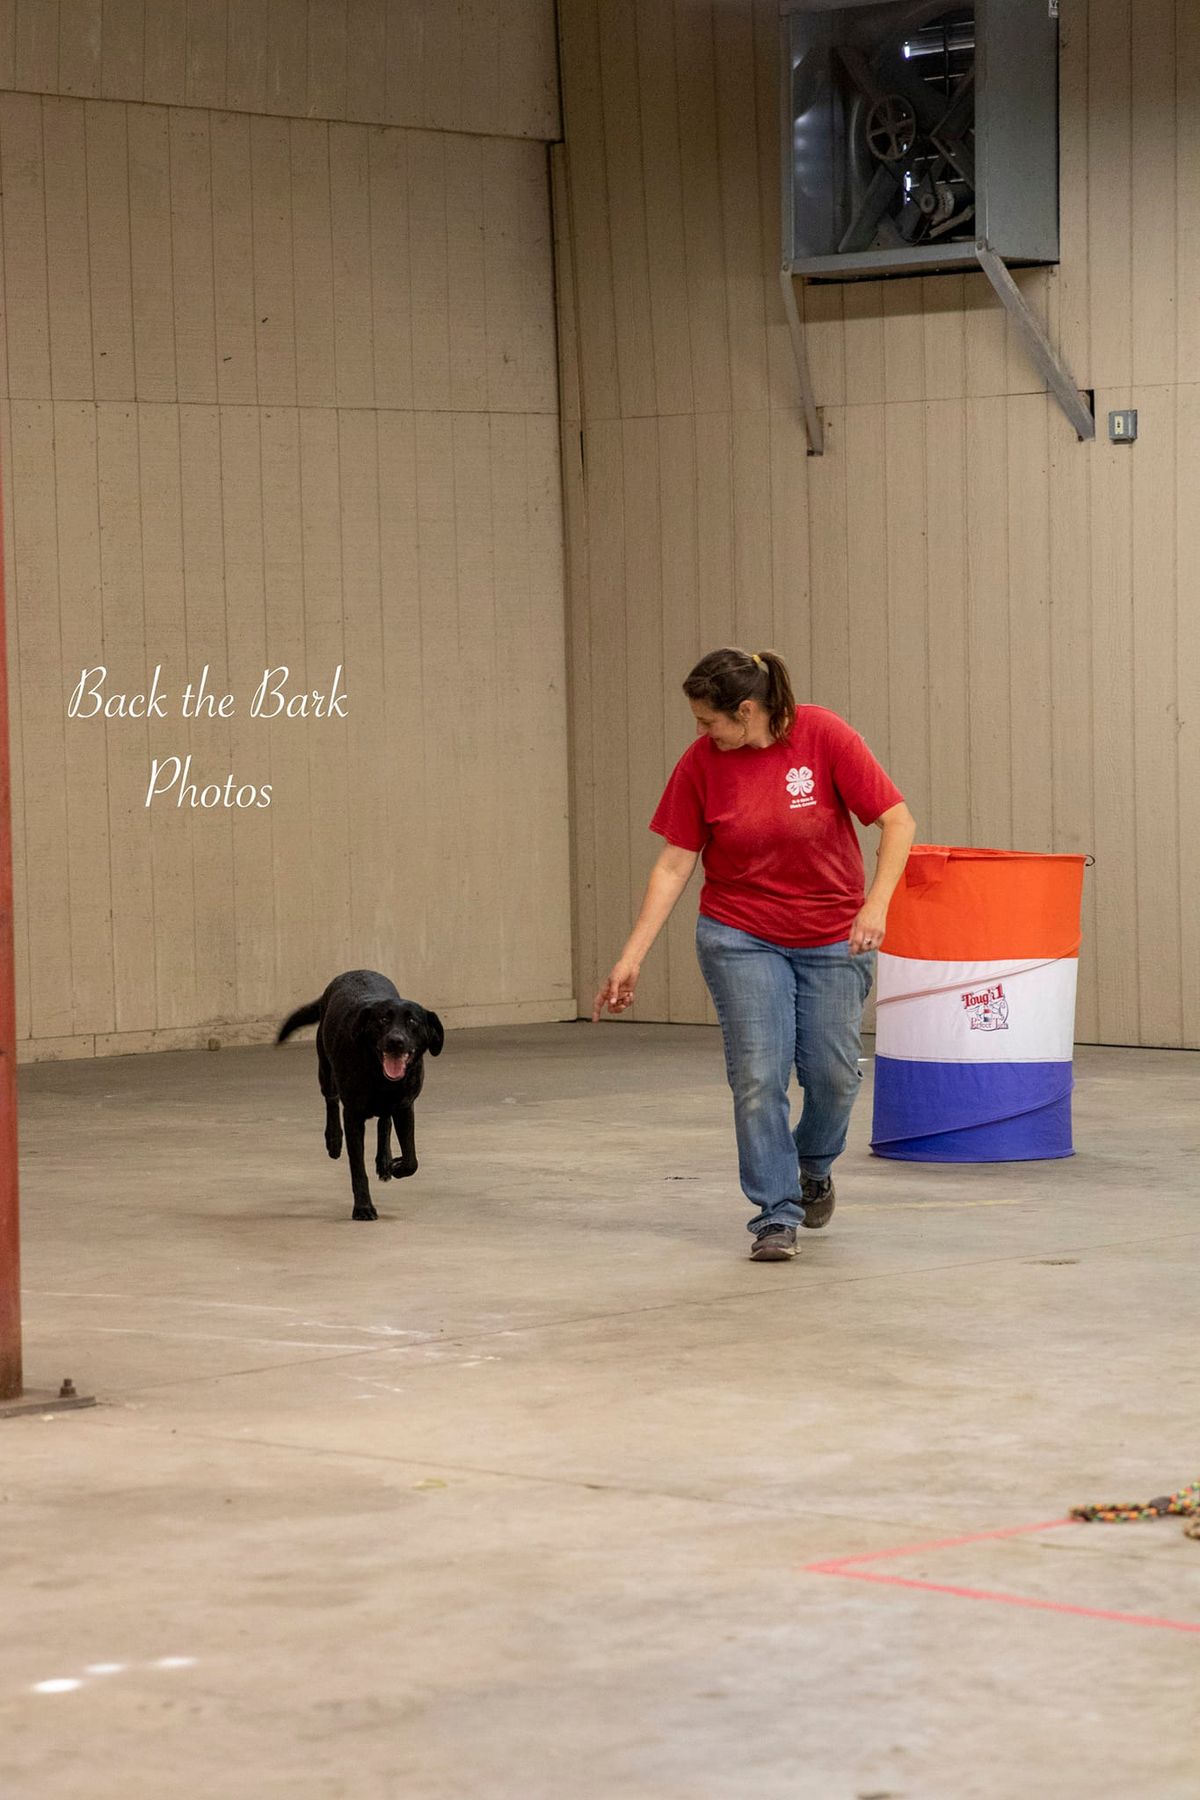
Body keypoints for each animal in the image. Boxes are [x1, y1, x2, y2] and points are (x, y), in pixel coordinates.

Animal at [278, 972, 446, 1224]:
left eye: (412, 1021)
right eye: (383, 1020)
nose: (395, 1041)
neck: (381, 1078)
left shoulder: (405, 1107)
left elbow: (411, 1160)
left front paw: (395, 1166)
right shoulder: (353, 1117)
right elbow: (358, 1169)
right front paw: (363, 1207)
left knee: (384, 1122)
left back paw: (384, 1161)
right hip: (325, 1068)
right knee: (331, 1099)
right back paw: (334, 1140)